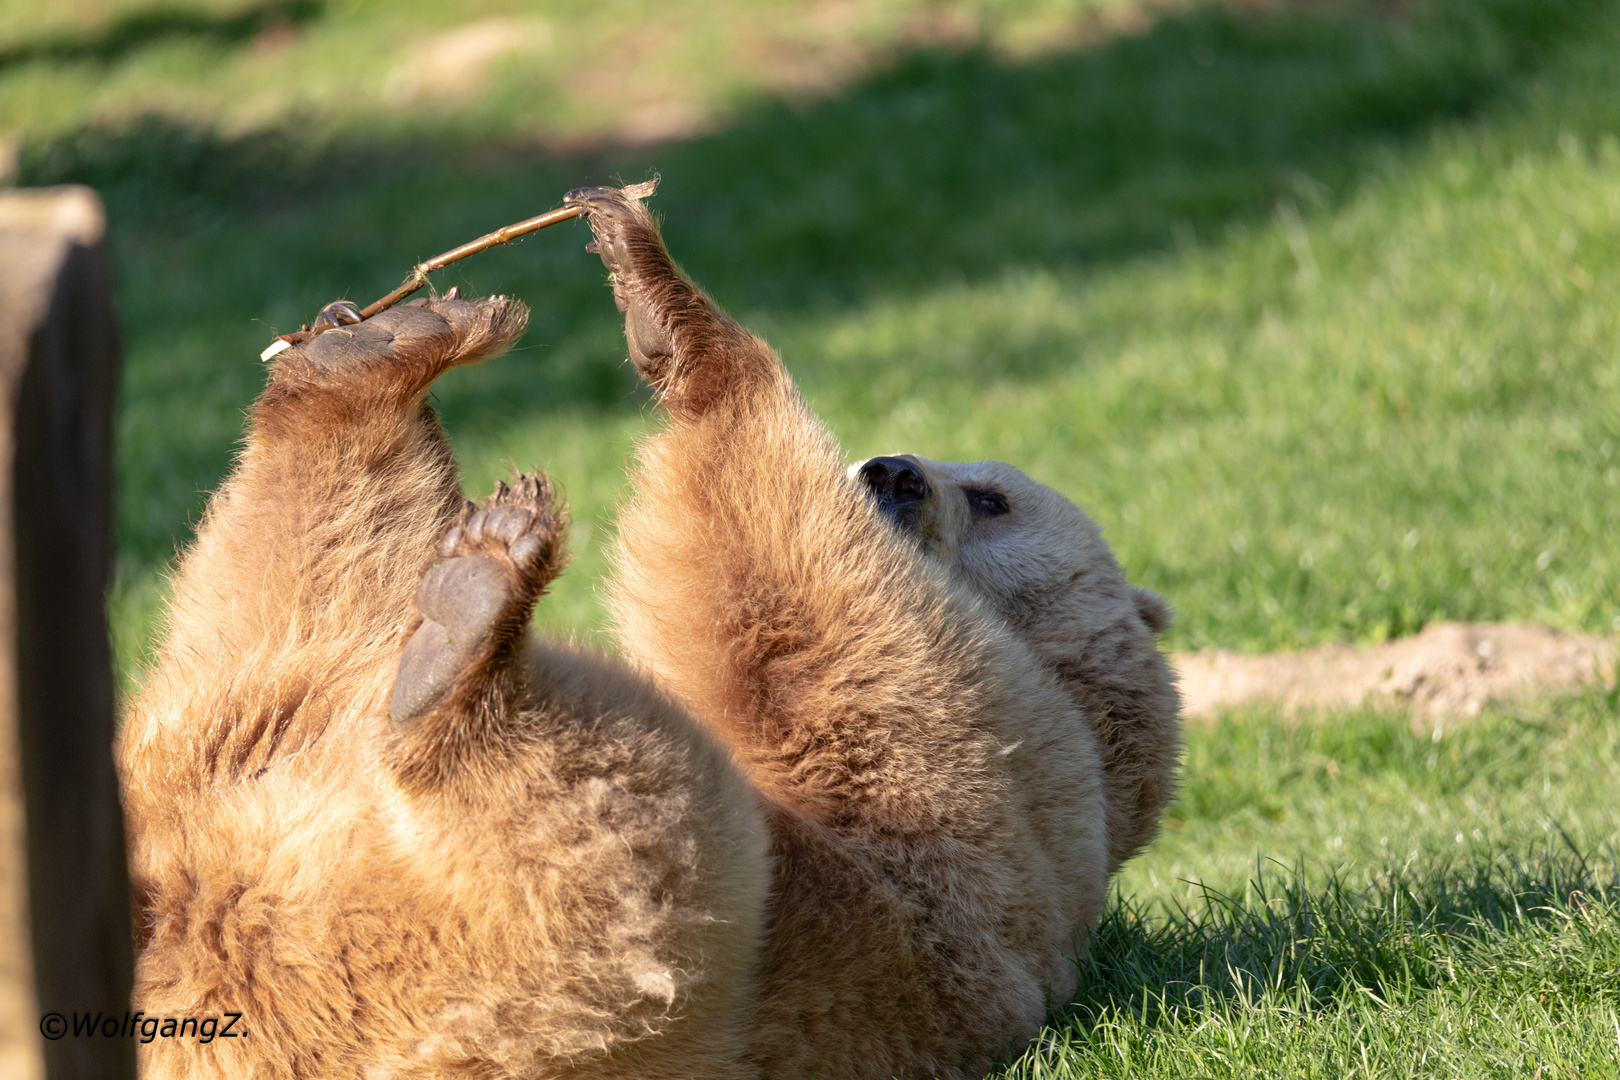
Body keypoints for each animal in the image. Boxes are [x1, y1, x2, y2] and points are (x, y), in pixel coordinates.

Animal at [117, 181, 1179, 1075]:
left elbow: (818, 657)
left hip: (516, 972)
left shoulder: (1004, 801)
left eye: (994, 496)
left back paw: (463, 634)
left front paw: (665, 306)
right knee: (306, 562)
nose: (890, 471)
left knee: (608, 828)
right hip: (226, 730)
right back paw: (380, 348)